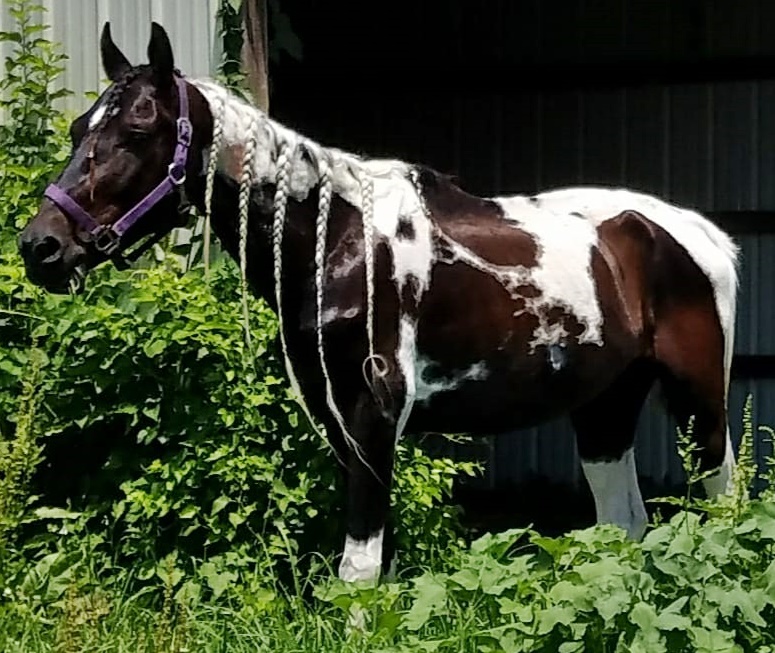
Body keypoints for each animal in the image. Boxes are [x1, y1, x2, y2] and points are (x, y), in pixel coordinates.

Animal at [18, 22, 739, 583]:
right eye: (82, 127)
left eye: (140, 128)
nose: (40, 246)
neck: (337, 240)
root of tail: (704, 235)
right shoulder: (341, 423)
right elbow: (376, 567)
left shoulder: (374, 414)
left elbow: (358, 569)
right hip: (603, 410)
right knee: (622, 526)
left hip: (699, 402)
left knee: (723, 508)